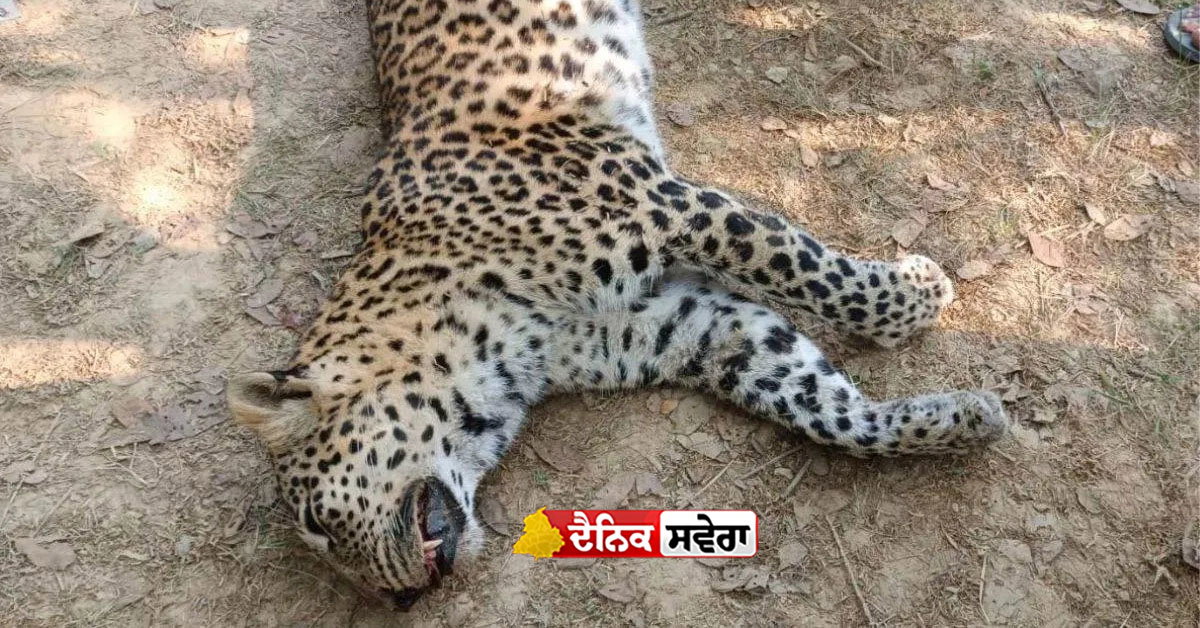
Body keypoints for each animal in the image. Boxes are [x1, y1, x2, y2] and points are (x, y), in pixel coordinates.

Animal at [226, 0, 1010, 610]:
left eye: (320, 521)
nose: (400, 603)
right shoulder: (695, 328)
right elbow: (824, 408)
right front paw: (958, 419)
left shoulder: (671, 208)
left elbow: (809, 268)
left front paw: (917, 293)